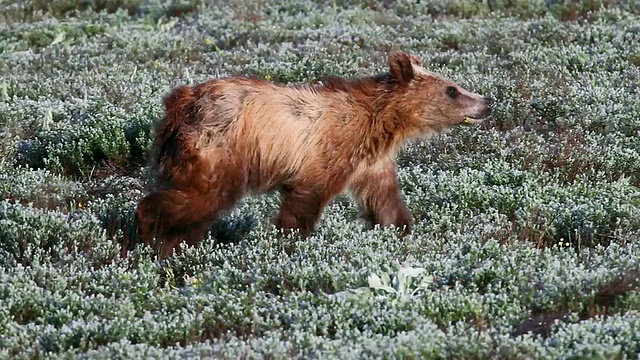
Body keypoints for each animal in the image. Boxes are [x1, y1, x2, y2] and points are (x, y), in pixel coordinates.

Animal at [125, 50, 496, 258]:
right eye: (452, 89)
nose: (487, 101)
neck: (381, 122)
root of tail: (179, 100)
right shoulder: (329, 148)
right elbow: (306, 198)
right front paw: (291, 241)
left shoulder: (371, 161)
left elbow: (385, 199)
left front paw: (401, 230)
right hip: (218, 150)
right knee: (198, 197)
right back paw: (146, 234)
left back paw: (174, 248)